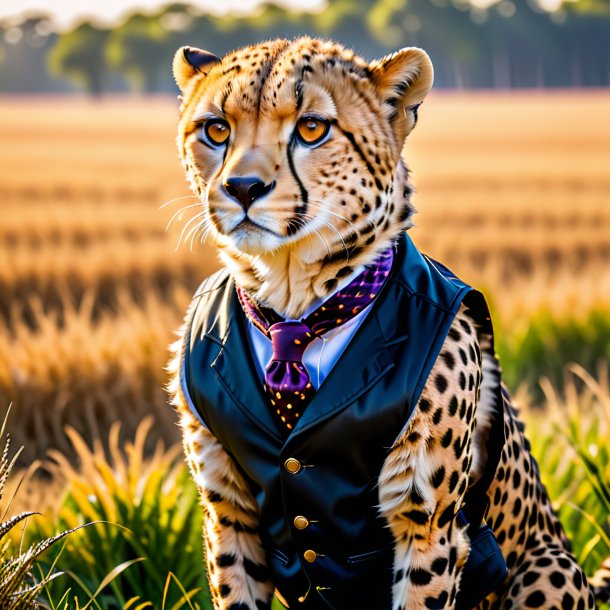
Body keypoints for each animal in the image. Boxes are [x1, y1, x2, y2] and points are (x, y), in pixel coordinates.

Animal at [164, 35, 604, 604]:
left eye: (312, 128)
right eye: (216, 129)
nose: (242, 187)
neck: (293, 306)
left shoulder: (428, 522)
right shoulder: (229, 511)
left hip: (548, 566)